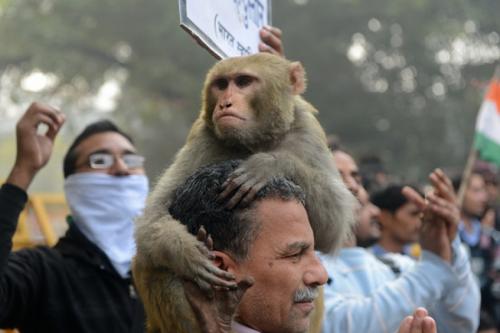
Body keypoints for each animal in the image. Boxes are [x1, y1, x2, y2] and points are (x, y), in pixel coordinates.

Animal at [132, 53, 356, 330]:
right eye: (221, 84)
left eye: (243, 81)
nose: (225, 103)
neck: (253, 141)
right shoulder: (203, 139)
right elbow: (152, 217)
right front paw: (186, 253)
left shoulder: (307, 133)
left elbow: (332, 228)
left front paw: (271, 164)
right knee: (149, 260)